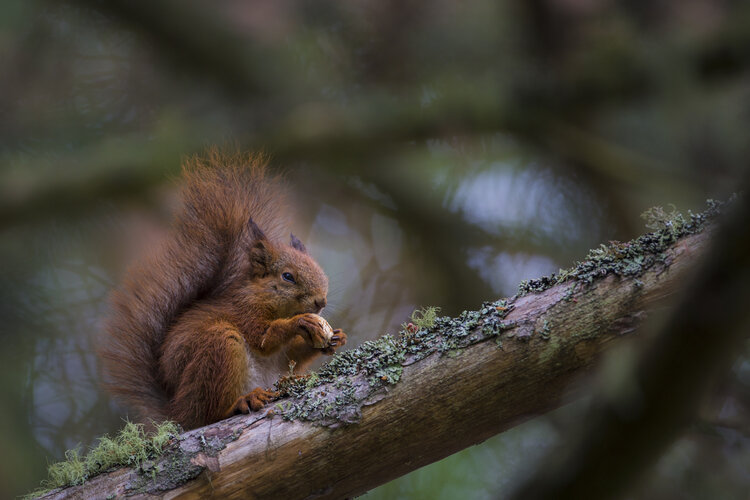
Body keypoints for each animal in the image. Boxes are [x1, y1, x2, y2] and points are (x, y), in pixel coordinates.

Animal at [98, 148, 348, 430]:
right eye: (288, 277)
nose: (321, 303)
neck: (264, 298)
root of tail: (177, 413)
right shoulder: (244, 310)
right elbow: (263, 339)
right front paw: (302, 322)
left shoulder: (283, 356)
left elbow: (289, 355)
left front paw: (336, 338)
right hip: (218, 349)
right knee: (210, 413)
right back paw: (242, 401)